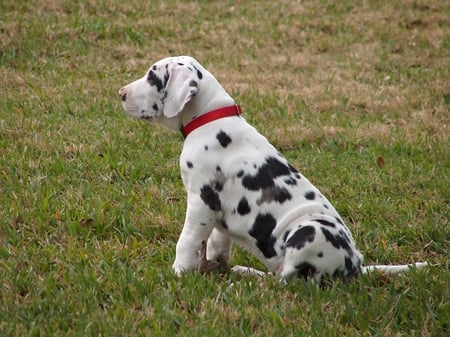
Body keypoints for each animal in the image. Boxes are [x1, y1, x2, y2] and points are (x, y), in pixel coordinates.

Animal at [118, 55, 428, 280]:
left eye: (152, 77)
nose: (121, 93)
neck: (210, 118)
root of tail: (355, 266)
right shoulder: (218, 210)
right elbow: (218, 241)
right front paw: (215, 265)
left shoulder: (200, 202)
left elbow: (186, 241)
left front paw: (179, 273)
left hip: (307, 232)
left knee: (286, 282)